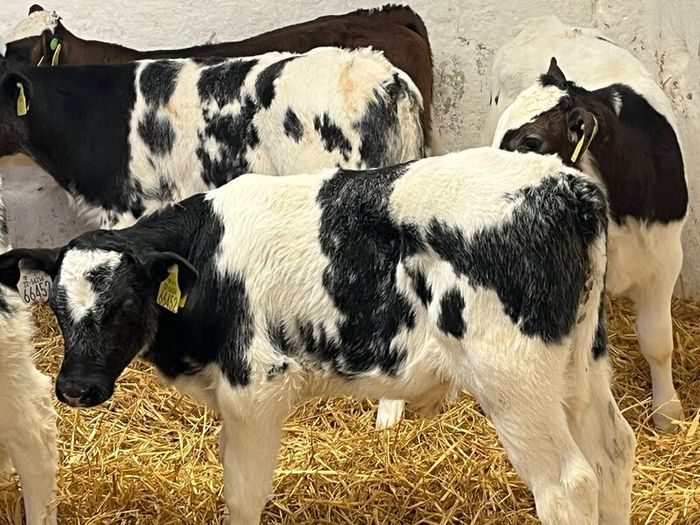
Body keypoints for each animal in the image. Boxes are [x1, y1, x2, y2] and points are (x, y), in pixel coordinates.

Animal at [0, 148, 636, 525]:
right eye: (56, 305)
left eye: (127, 303)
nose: (75, 389)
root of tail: (567, 186)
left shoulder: (256, 392)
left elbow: (243, 495)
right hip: (581, 365)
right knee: (612, 452)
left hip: (513, 381)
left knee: (569, 484)